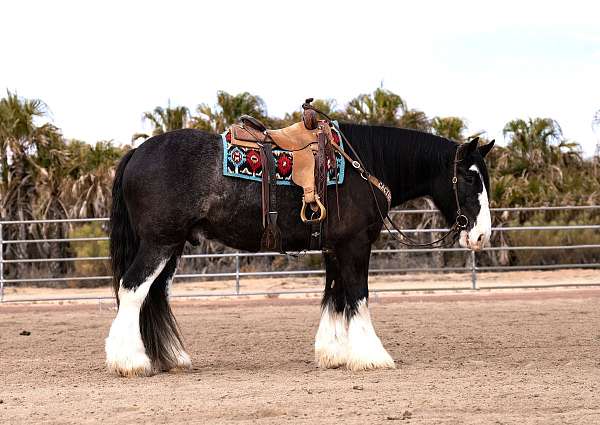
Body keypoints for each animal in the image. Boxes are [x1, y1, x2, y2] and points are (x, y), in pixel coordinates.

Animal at [105, 121, 494, 374]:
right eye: (470, 177)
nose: (480, 236)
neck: (362, 166)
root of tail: (137, 151)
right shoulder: (355, 245)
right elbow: (358, 295)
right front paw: (372, 356)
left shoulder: (335, 248)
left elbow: (335, 295)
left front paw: (334, 353)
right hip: (159, 244)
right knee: (133, 290)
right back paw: (130, 361)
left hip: (171, 247)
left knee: (153, 294)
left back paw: (168, 359)